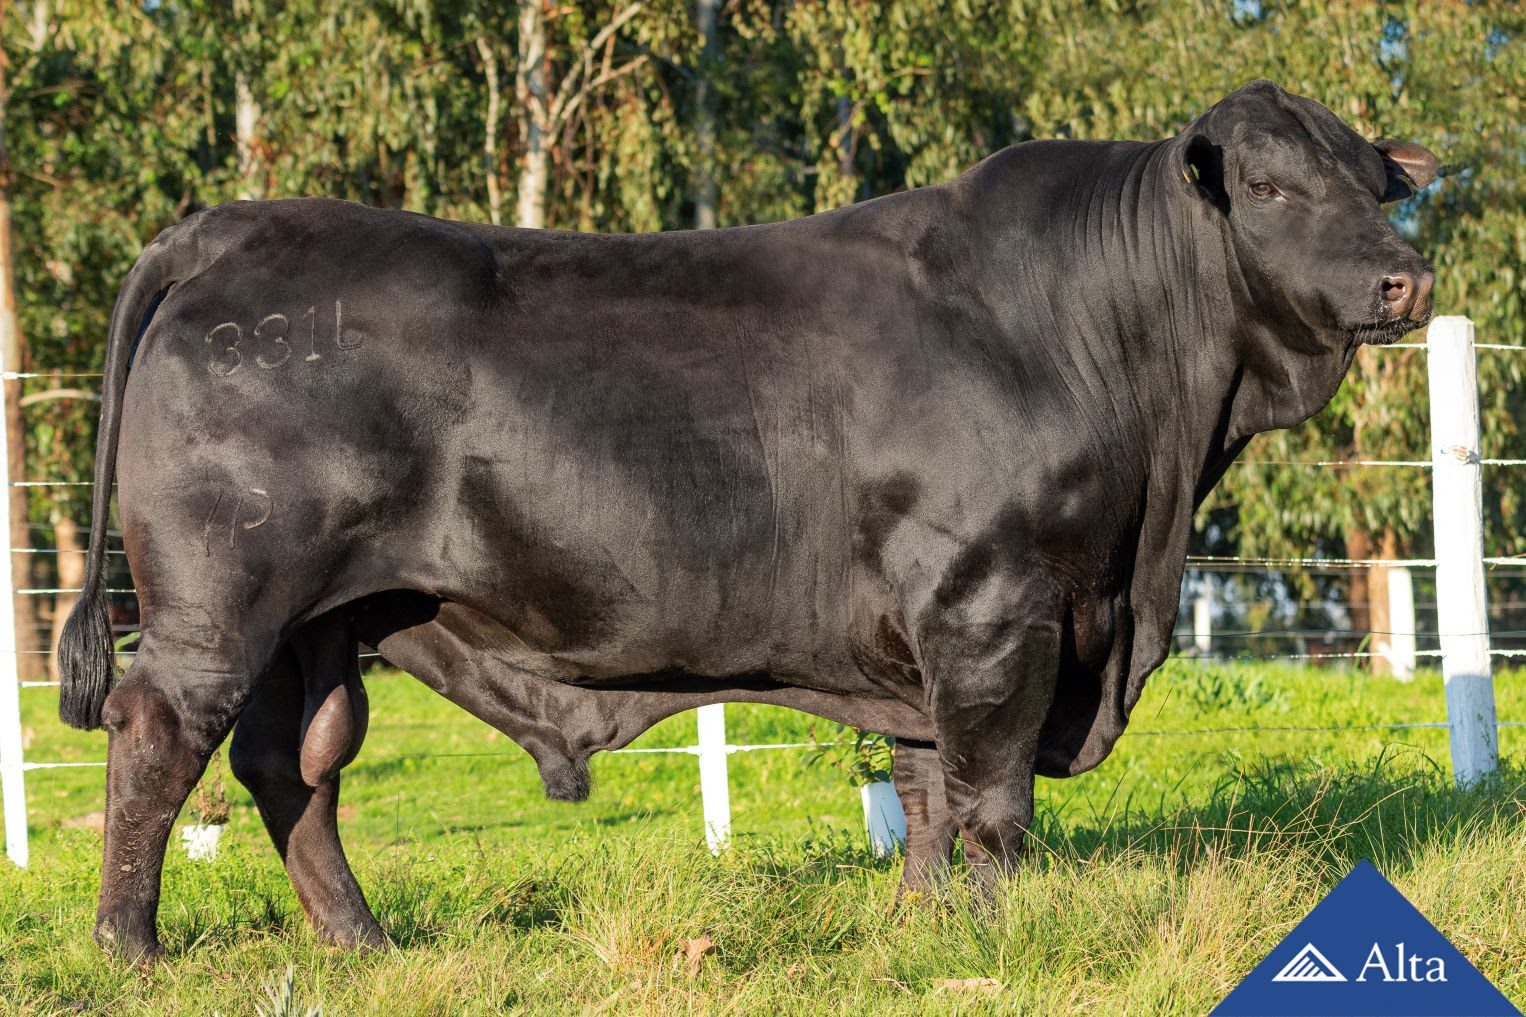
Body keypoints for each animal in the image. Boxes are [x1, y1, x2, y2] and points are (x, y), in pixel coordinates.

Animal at [59, 81, 1434, 958]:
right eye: (1266, 185)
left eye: (1377, 185)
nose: (1402, 278)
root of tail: (234, 223)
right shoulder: (996, 605)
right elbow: (990, 799)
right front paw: (1001, 941)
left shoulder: (928, 636)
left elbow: (925, 791)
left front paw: (924, 936)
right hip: (221, 602)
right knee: (161, 736)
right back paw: (130, 948)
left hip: (318, 623)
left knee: (291, 766)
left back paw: (360, 942)